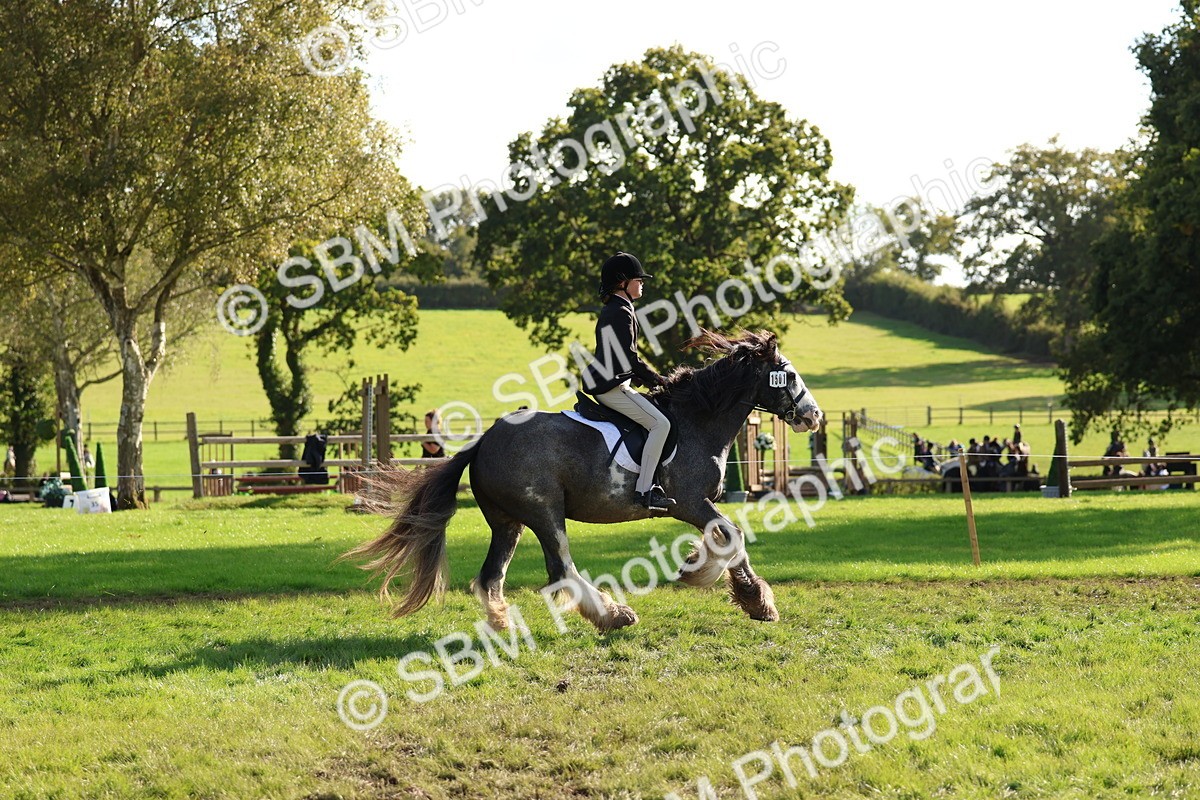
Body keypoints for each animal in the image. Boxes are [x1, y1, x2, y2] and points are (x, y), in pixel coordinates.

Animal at [343, 329, 824, 633]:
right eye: (789, 375)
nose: (814, 416)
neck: (698, 421)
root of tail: (481, 443)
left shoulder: (697, 506)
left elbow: (727, 538)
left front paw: (711, 575)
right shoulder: (690, 502)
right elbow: (733, 536)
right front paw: (746, 596)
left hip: (507, 522)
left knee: (491, 576)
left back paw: (501, 624)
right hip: (544, 512)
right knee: (561, 569)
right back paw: (614, 616)